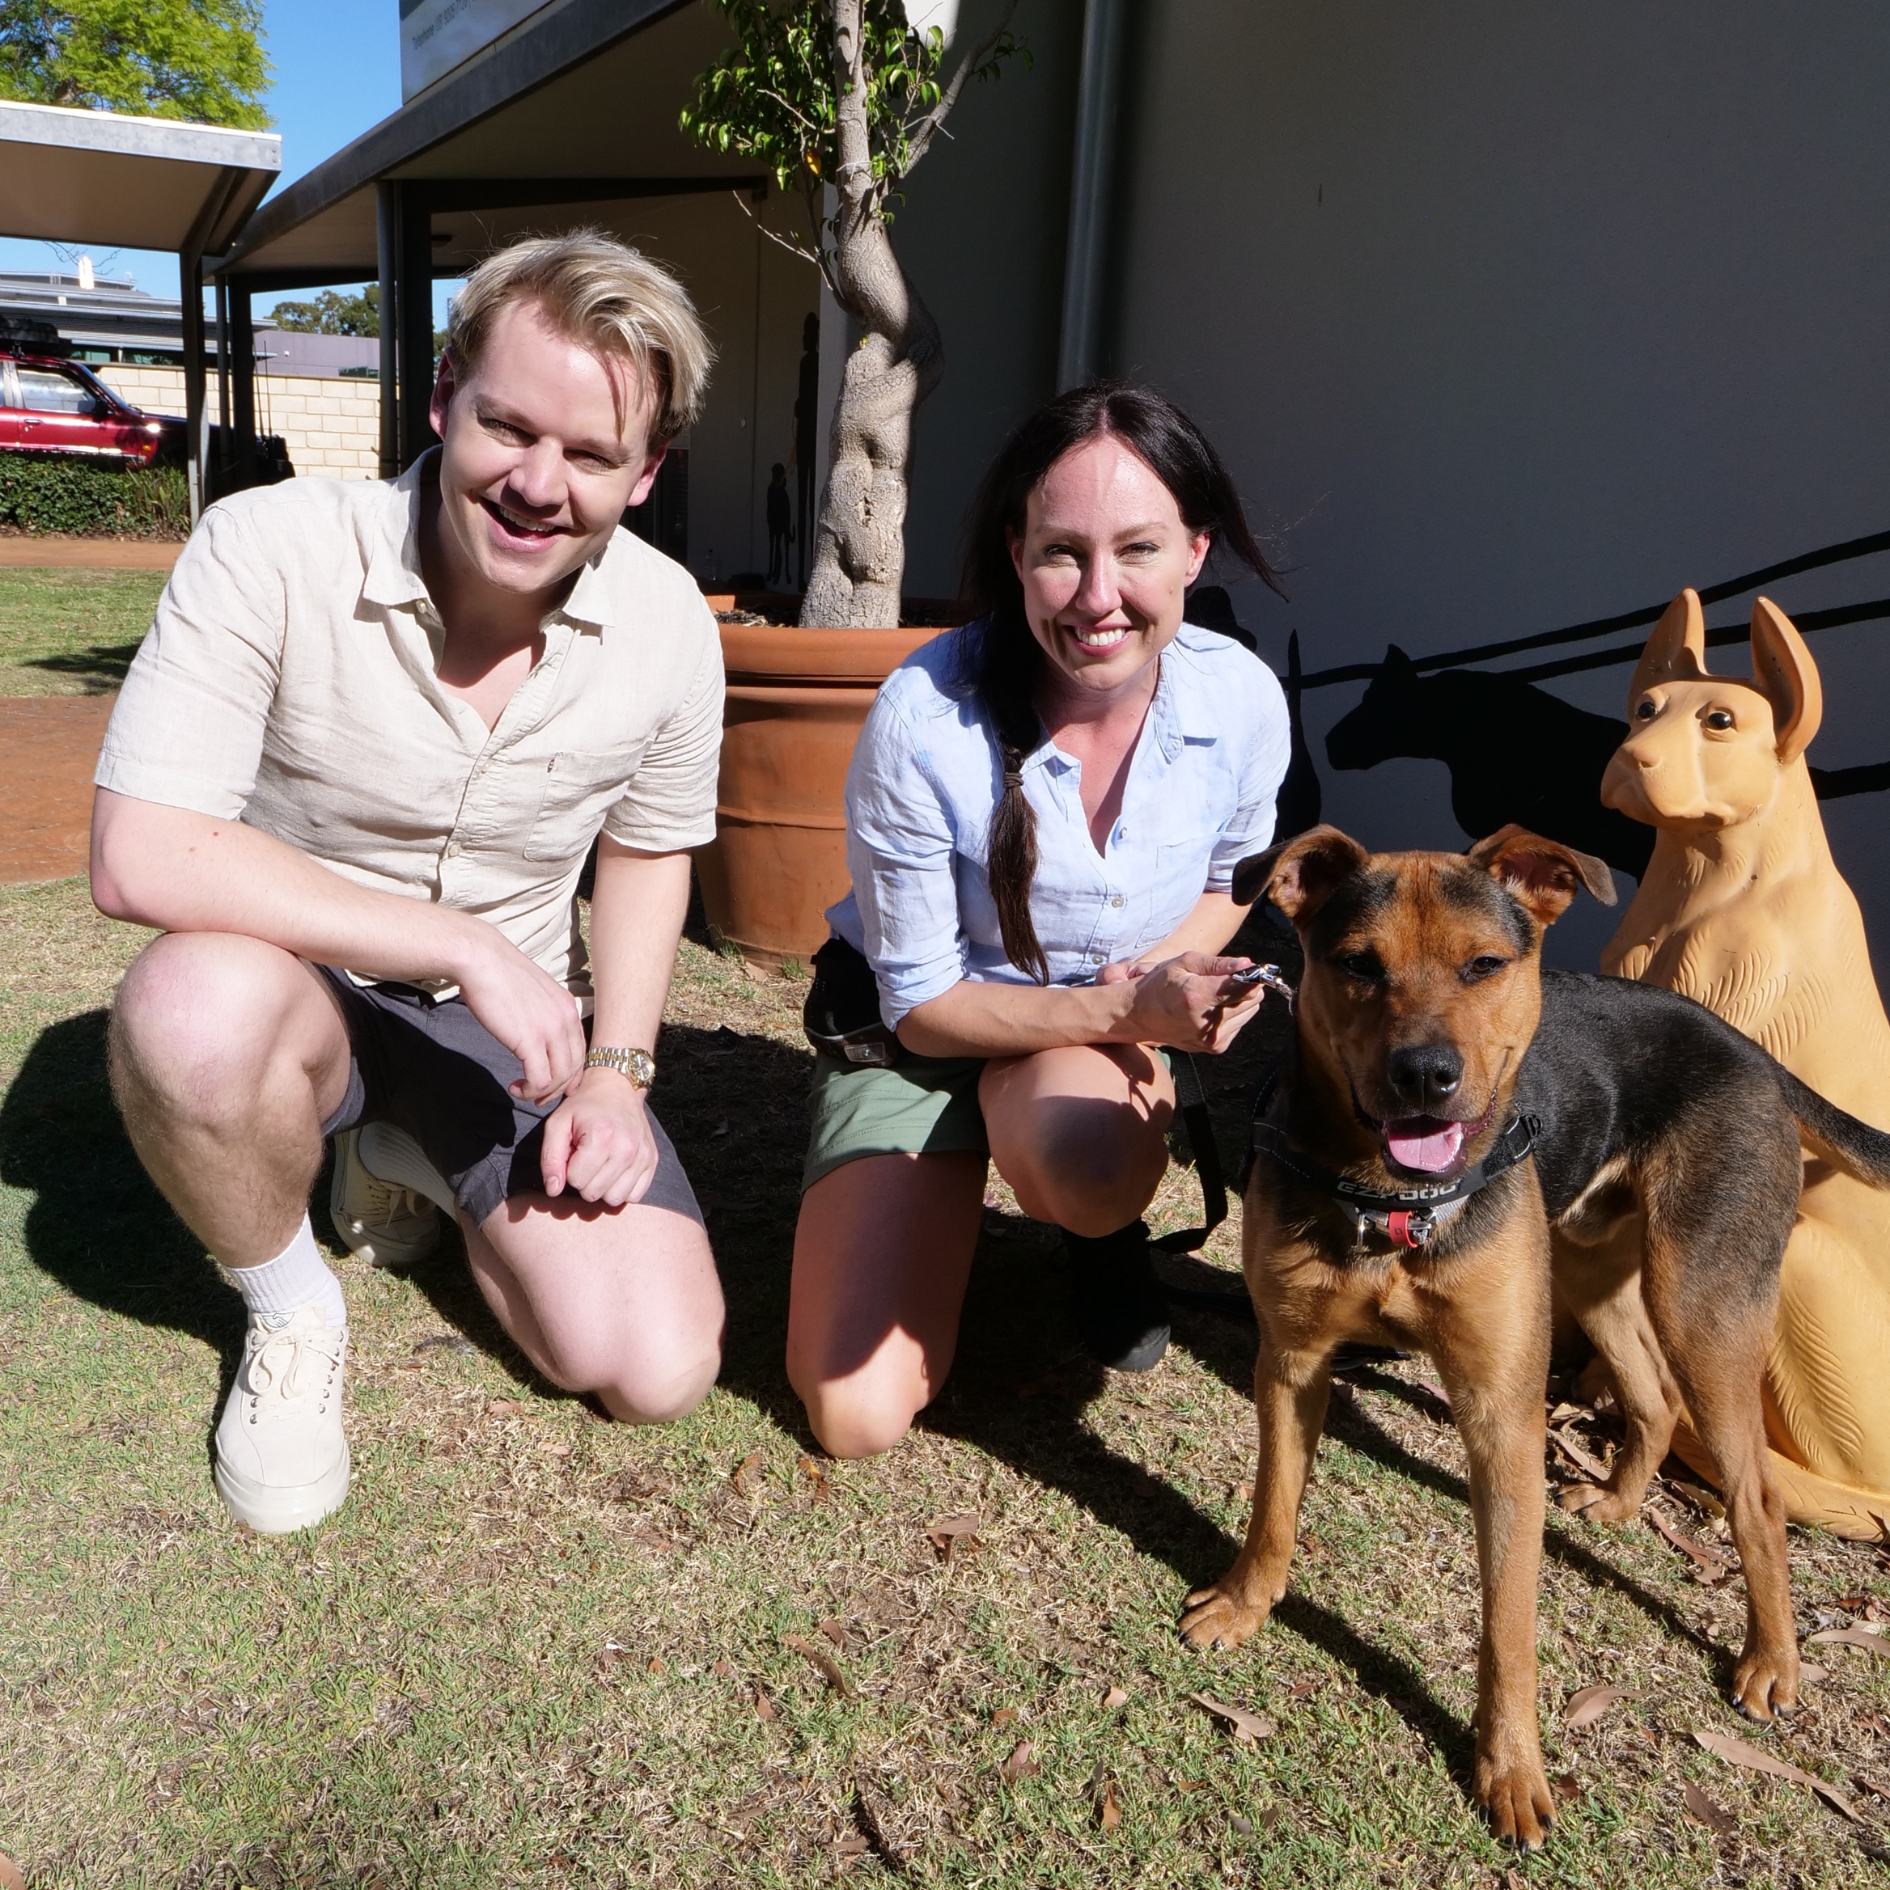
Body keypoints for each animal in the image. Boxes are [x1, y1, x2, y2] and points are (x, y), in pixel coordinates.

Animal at [1186, 824, 1890, 1844]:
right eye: (1357, 965)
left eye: (1484, 965)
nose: (1426, 1077)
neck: (1394, 1203)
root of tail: (1751, 1050)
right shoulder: (1290, 1362)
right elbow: (1272, 1507)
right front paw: (1245, 1606)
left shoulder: (1500, 1413)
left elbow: (1508, 1624)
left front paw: (1511, 1768)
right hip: (1596, 1275)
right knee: (1652, 1396)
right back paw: (1623, 1504)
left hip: (1702, 1303)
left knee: (1754, 1493)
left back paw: (1772, 1662)